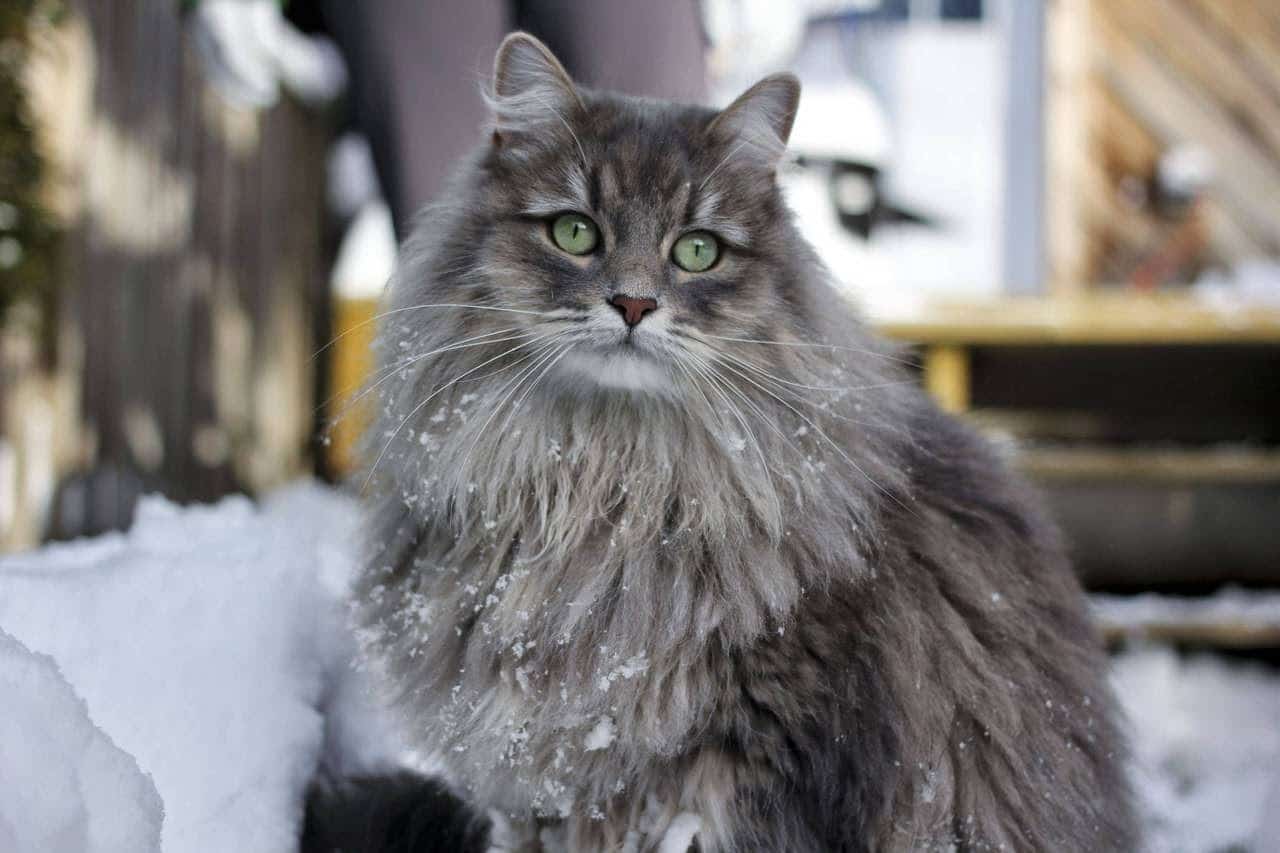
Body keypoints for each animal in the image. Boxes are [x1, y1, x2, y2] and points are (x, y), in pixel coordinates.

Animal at [335, 29, 1136, 845]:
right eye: (574, 232)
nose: (632, 303)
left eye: (697, 251)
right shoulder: (553, 786)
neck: (605, 480)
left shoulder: (763, 760)